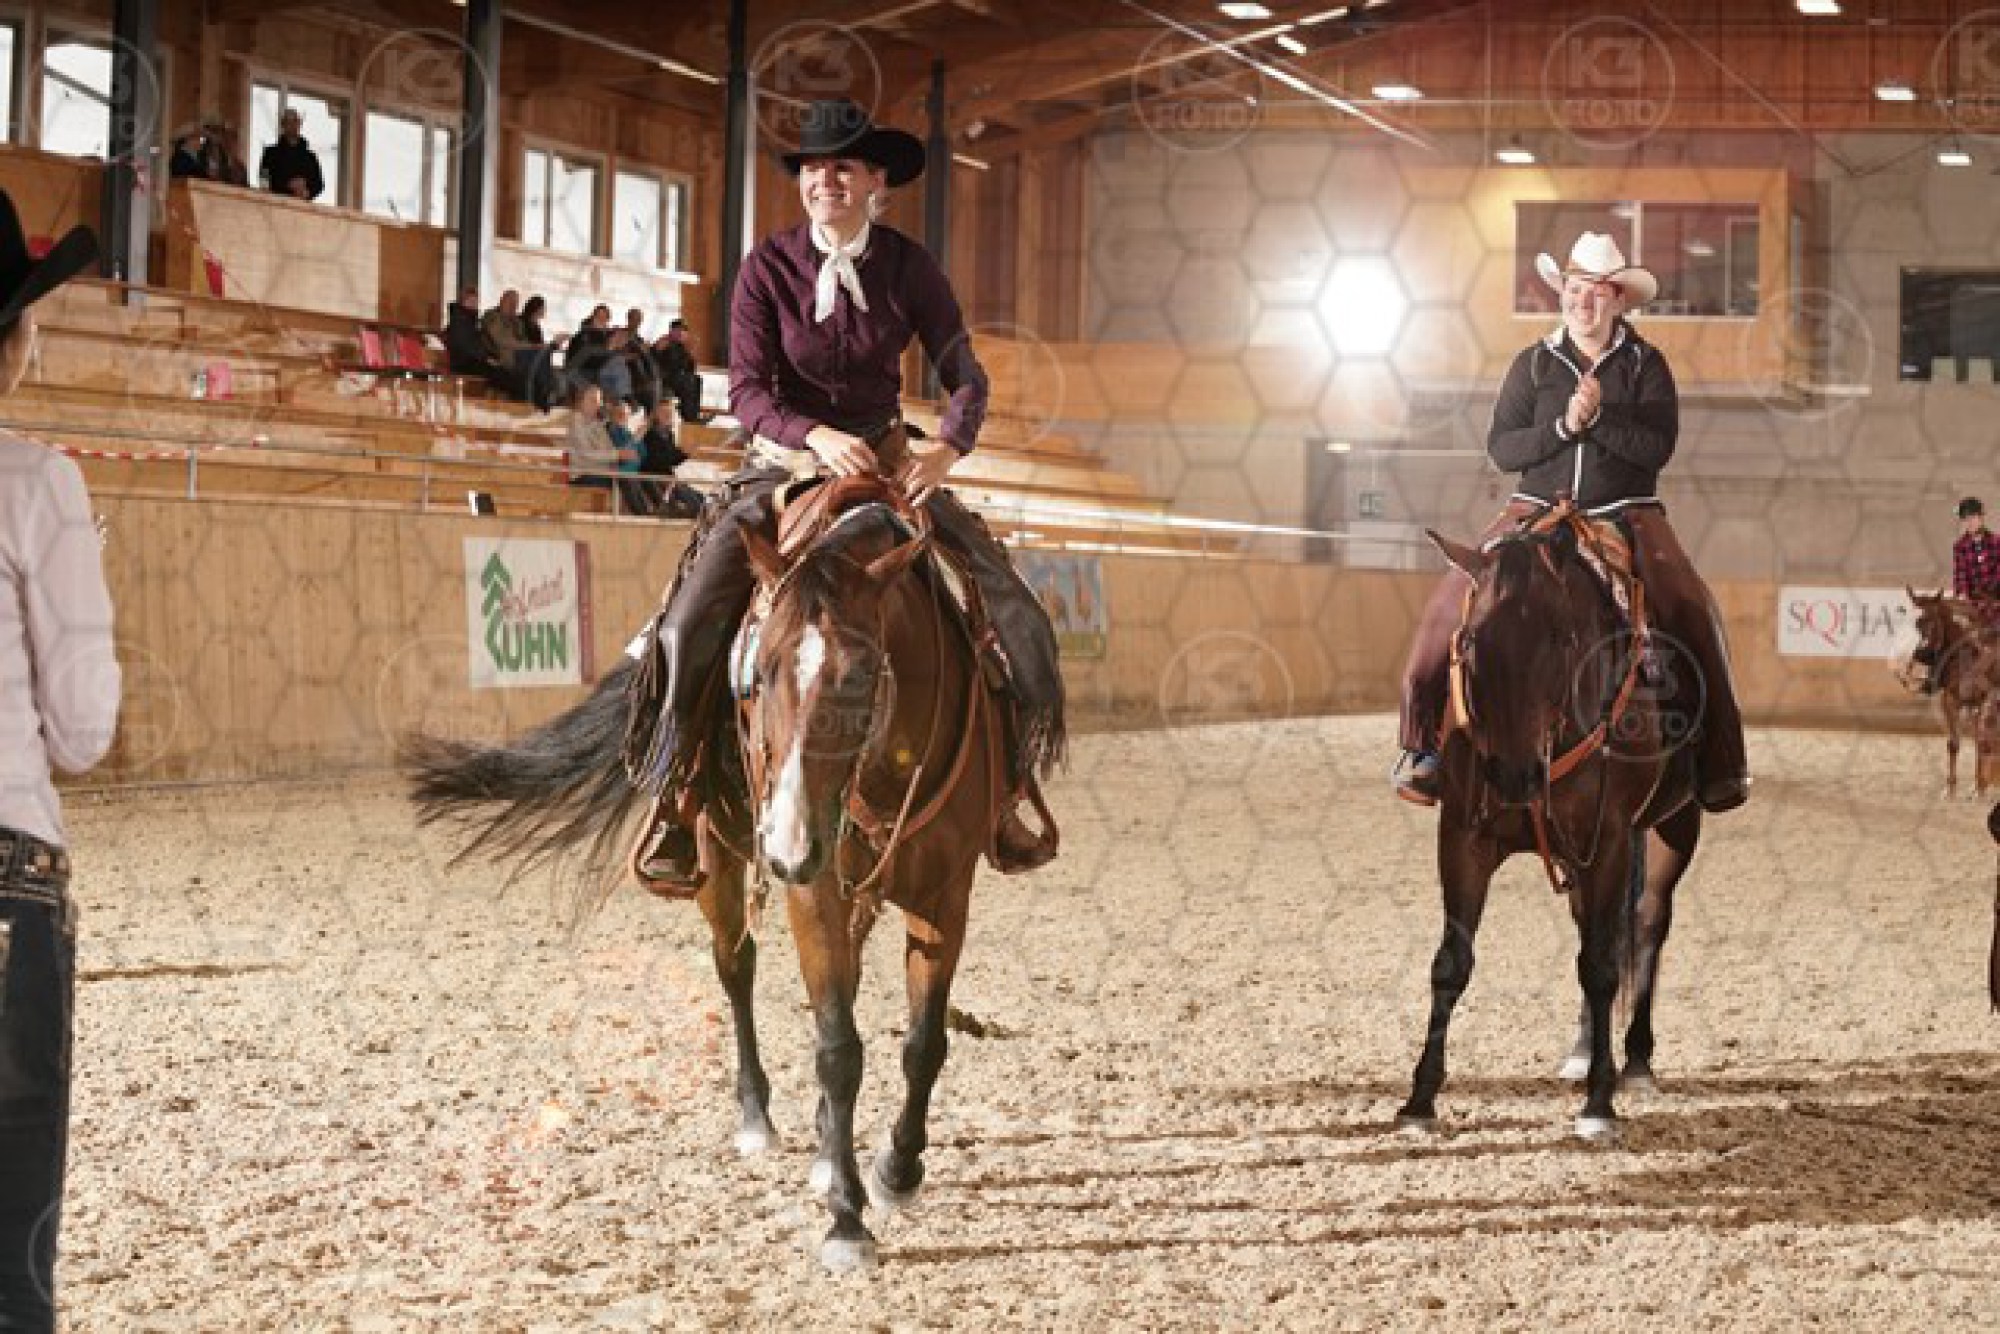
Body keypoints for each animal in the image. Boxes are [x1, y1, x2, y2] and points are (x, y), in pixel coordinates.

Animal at [403, 476, 1010, 1272]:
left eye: (862, 674)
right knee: (737, 968)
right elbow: (838, 1048)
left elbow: (922, 1043)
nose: (786, 841)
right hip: (719, 856)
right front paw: (845, 1216)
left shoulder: (946, 892)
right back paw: (759, 1117)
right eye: (757, 675)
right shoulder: (811, 888)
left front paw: (896, 1169)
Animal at [1398, 505, 1705, 1143]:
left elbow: (1603, 967)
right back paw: (1586, 1051)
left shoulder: (1609, 842)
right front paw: (1420, 1099)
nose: (1514, 778)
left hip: (1672, 830)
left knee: (1646, 924)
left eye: (1561, 639)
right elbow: (1451, 963)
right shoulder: (1464, 837)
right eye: (1470, 640)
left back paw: (1636, 1061)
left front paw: (1598, 1105)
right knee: (1599, 931)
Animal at [1900, 590, 2000, 797]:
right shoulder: (1951, 700)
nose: (1920, 653)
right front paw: (1951, 789)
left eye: (1931, 618)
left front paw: (1979, 790)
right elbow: (1953, 744)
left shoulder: (1986, 700)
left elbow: (1983, 741)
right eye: (1909, 620)